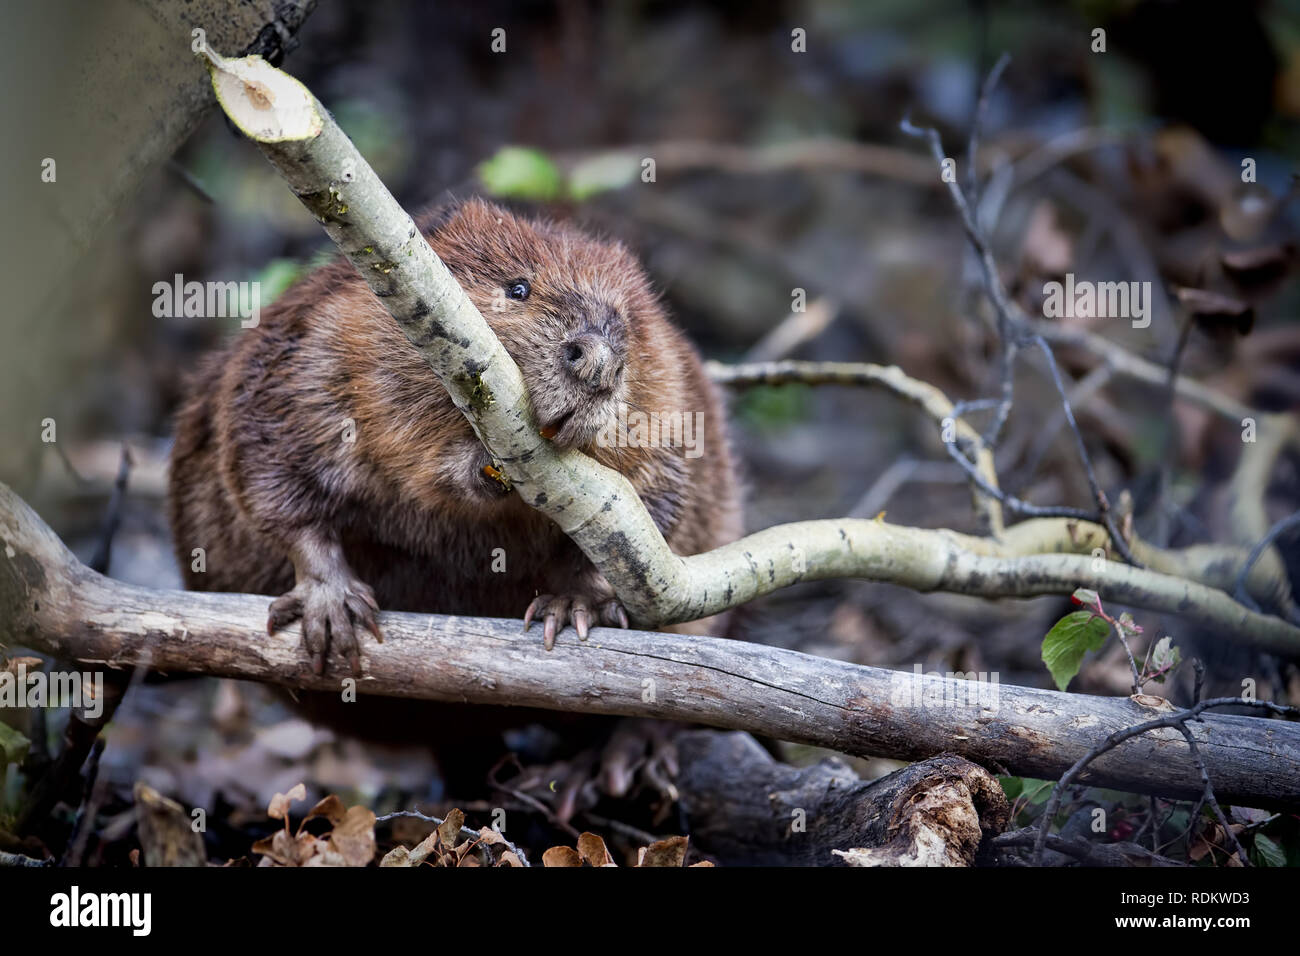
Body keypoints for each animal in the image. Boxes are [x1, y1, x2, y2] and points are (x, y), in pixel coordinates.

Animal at [169, 195, 748, 676]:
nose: (598, 363)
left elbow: (649, 511)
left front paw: (569, 606)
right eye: (518, 288)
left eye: (627, 321)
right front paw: (332, 608)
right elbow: (268, 468)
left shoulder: (675, 406)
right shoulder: (304, 355)